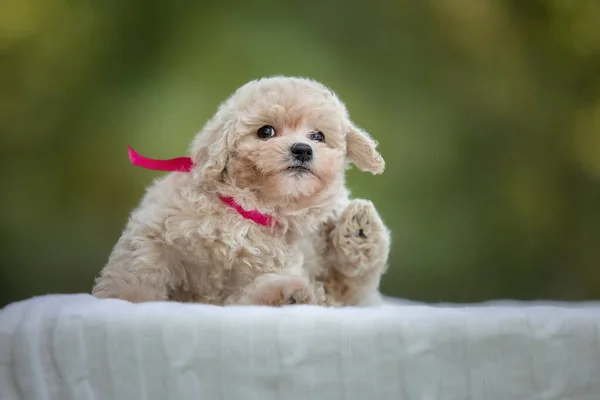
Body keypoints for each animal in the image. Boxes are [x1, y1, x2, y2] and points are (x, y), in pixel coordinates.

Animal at [91, 76, 392, 306]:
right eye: (266, 132)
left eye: (318, 136)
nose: (303, 150)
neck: (249, 210)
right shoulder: (157, 231)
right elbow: (138, 267)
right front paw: (124, 296)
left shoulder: (262, 272)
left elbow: (248, 294)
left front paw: (284, 293)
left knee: (351, 283)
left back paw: (360, 227)